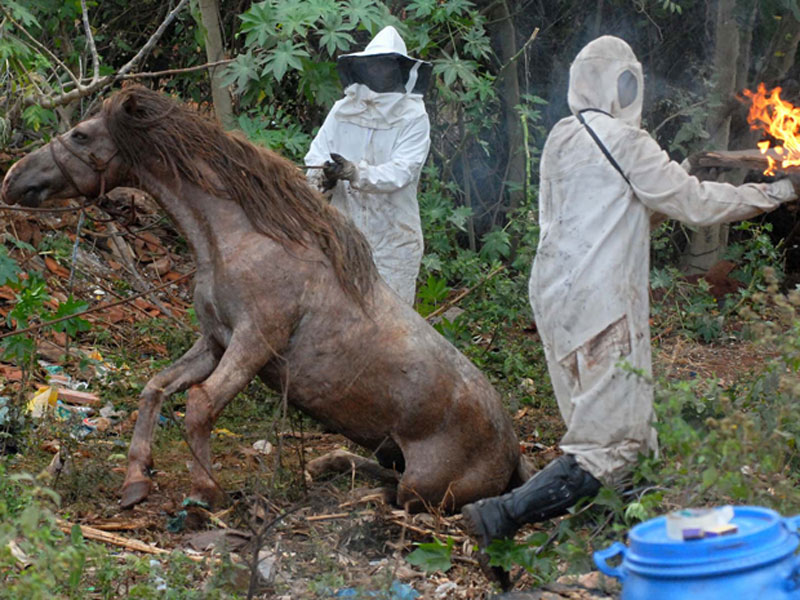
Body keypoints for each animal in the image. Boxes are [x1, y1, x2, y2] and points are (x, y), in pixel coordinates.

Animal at [3, 86, 528, 512]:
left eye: (81, 135)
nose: (11, 178)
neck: (240, 240)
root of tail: (513, 452)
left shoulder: (254, 343)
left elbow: (200, 405)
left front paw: (205, 493)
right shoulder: (215, 341)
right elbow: (155, 388)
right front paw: (136, 481)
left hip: (425, 485)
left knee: (404, 498)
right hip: (390, 449)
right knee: (381, 474)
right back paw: (327, 465)